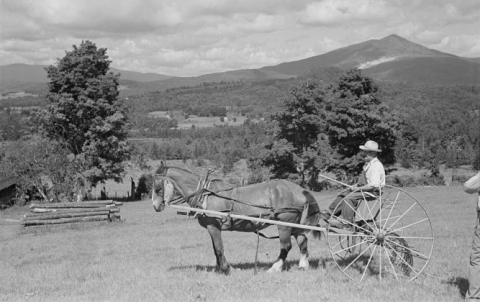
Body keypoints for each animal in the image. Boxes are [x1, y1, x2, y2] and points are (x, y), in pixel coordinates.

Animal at [151, 162, 322, 274]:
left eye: (157, 186)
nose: (155, 206)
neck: (205, 194)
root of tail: (298, 189)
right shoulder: (212, 228)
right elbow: (215, 249)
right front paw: (221, 268)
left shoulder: (213, 226)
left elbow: (219, 248)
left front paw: (226, 269)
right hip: (295, 223)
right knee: (302, 240)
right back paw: (303, 265)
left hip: (284, 223)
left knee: (286, 246)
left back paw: (275, 267)